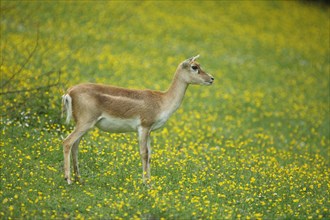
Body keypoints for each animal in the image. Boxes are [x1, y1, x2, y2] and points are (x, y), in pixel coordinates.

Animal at [62, 55, 214, 184]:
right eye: (194, 67)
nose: (212, 78)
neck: (161, 101)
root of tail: (69, 92)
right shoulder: (143, 127)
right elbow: (144, 153)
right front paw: (146, 183)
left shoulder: (150, 130)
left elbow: (150, 155)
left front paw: (150, 182)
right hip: (85, 123)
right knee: (67, 142)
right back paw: (68, 179)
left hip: (85, 125)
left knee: (75, 145)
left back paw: (79, 179)